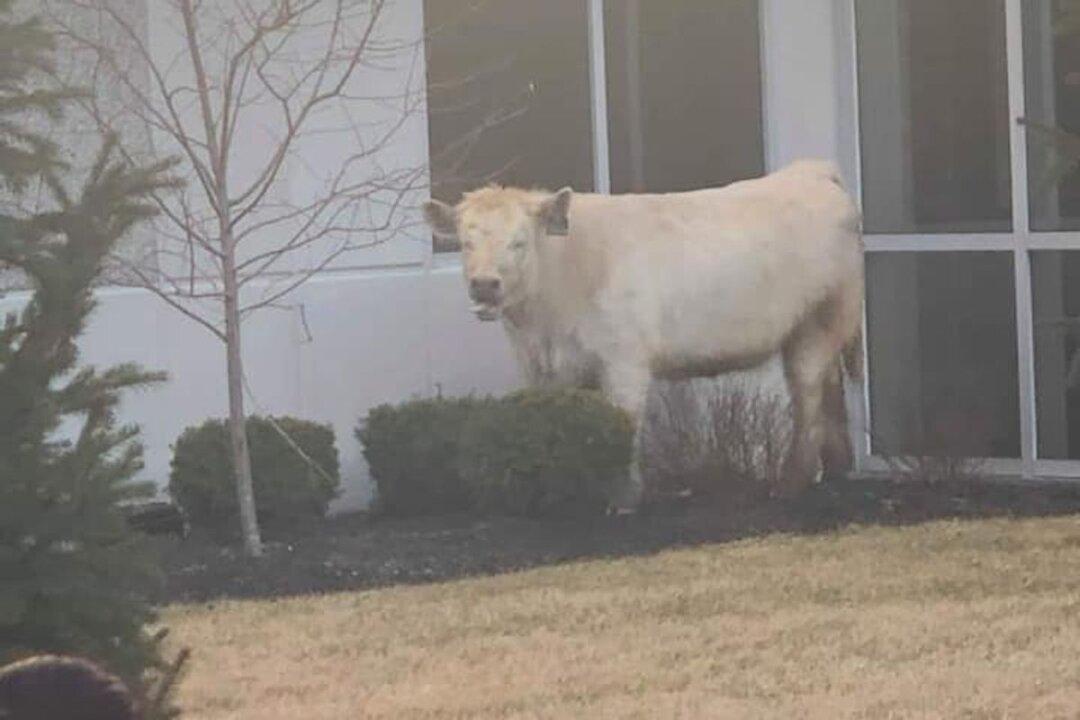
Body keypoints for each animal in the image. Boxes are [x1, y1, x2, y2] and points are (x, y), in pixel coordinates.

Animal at [423, 159, 864, 508]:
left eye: (519, 242)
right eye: (464, 242)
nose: (484, 285)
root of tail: (810, 171)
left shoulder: (624, 362)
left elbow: (624, 424)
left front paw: (624, 499)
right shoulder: (540, 369)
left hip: (818, 322)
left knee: (807, 396)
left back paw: (790, 483)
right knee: (829, 389)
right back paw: (837, 467)